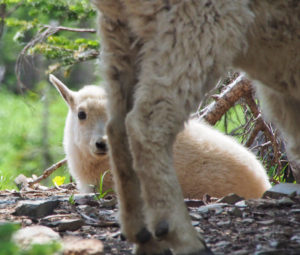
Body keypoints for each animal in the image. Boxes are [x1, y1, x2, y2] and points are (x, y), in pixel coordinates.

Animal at [92, 0, 298, 254]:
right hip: (196, 23)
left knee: (117, 126)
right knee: (148, 122)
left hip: (121, 33)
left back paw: (143, 236)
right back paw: (182, 236)